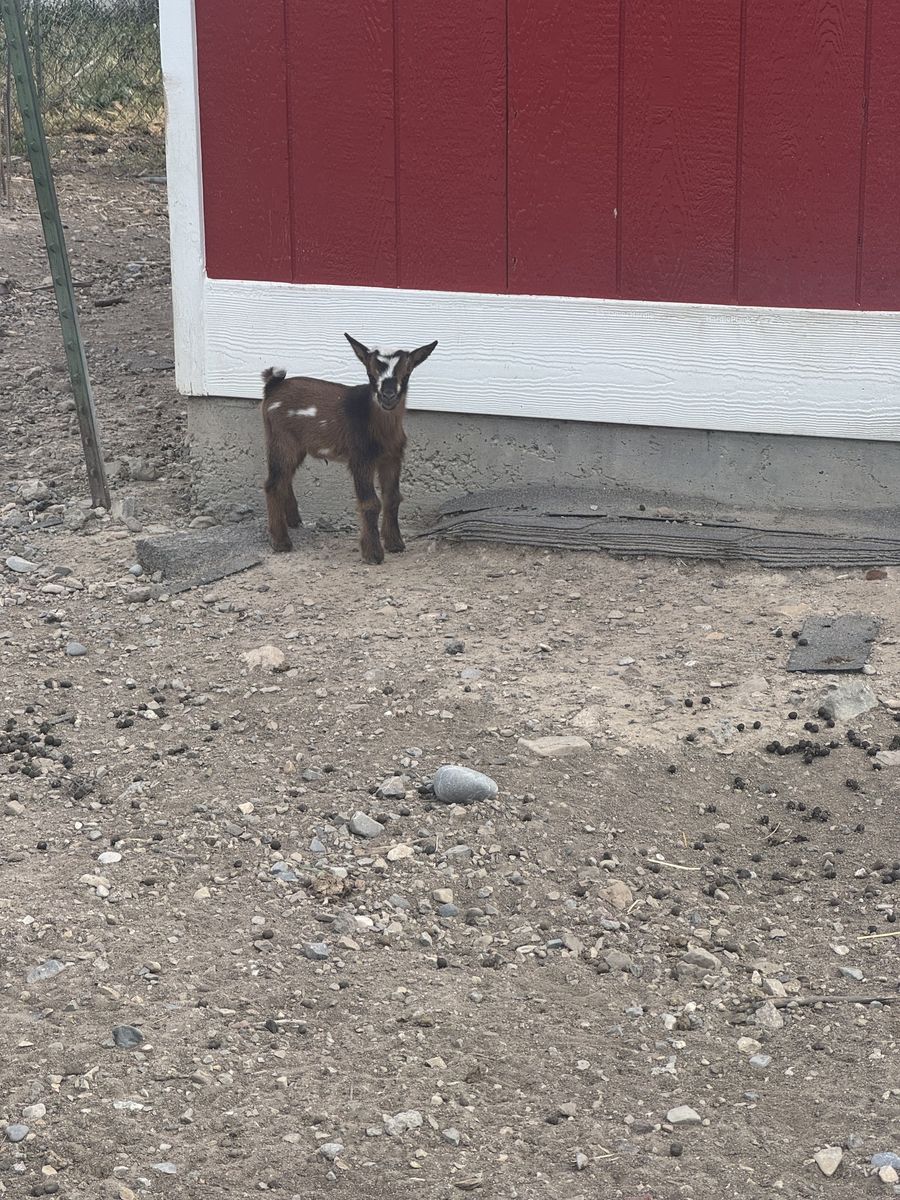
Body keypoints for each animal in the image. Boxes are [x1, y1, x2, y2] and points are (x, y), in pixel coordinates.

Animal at [261, 334, 437, 564]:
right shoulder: (361, 458)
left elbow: (392, 498)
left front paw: (395, 544)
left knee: (284, 478)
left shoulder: (392, 457)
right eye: (370, 374)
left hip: (295, 446)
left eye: (406, 373)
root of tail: (272, 388)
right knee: (273, 484)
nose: (388, 396)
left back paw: (293, 521)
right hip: (281, 440)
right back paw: (281, 542)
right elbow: (371, 502)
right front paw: (373, 554)